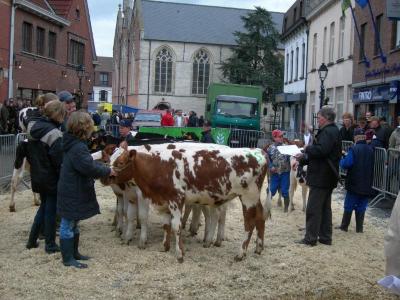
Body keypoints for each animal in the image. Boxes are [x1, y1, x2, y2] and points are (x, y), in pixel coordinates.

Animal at [106, 143, 270, 262]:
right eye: (110, 160)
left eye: (120, 162)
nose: (108, 175)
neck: (160, 166)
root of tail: (258, 150)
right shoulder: (164, 202)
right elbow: (166, 225)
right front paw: (164, 247)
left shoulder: (176, 199)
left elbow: (176, 226)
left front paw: (179, 254)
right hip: (255, 198)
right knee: (260, 217)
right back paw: (258, 248)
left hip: (248, 197)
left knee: (249, 223)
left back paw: (241, 254)